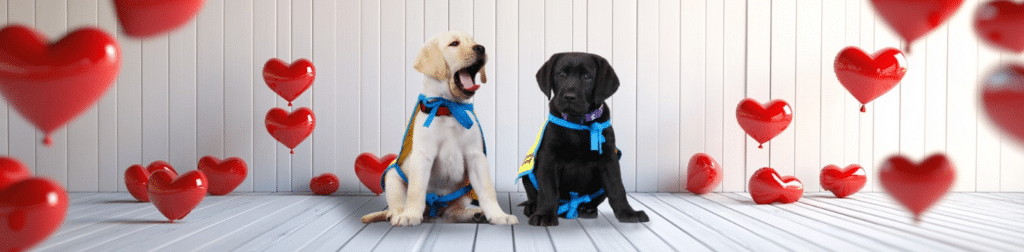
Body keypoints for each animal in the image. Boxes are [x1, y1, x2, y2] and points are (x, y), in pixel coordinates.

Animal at [362, 30, 520, 226]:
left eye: (474, 42)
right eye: (454, 44)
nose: (481, 48)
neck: (449, 109)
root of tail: (433, 212)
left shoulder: (476, 157)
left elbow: (487, 189)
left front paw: (499, 215)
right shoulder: (422, 156)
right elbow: (416, 190)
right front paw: (410, 214)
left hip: (465, 191)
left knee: (450, 214)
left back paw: (473, 214)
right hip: (392, 176)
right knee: (397, 204)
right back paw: (398, 214)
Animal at [520, 52, 647, 226]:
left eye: (587, 77)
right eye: (560, 74)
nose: (569, 97)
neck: (577, 122)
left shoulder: (609, 159)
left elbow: (617, 188)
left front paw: (628, 213)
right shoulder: (549, 158)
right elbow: (548, 189)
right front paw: (544, 214)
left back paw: (587, 209)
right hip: (528, 173)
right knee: (533, 195)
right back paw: (533, 207)